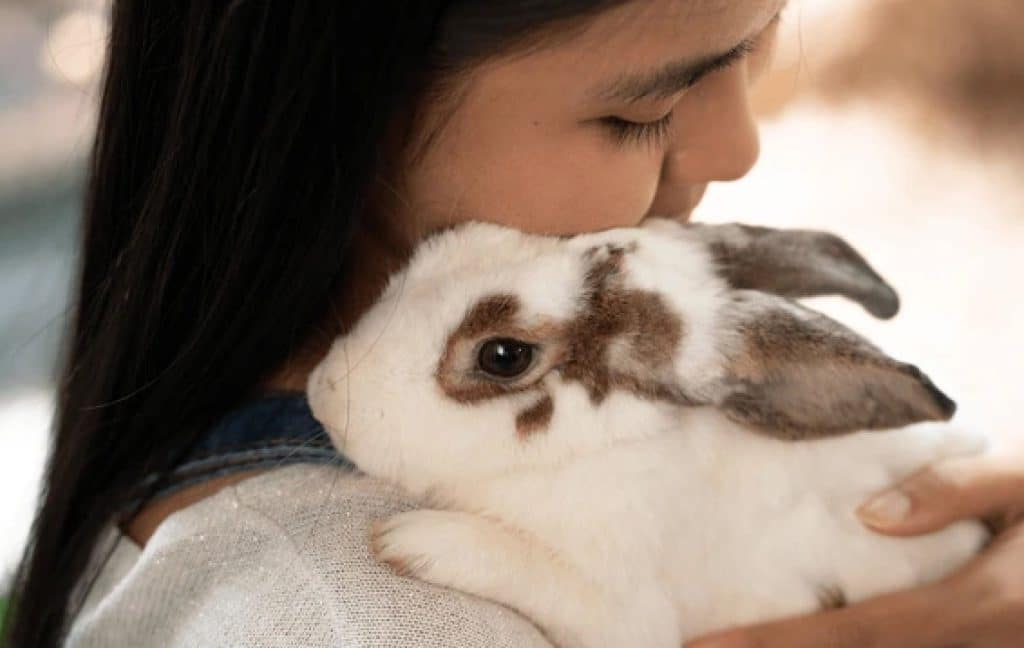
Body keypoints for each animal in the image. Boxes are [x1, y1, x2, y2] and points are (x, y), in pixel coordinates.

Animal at [307, 218, 988, 648]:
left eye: (504, 355)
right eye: (439, 241)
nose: (325, 392)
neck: (594, 449)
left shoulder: (626, 615)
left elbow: (528, 569)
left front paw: (415, 542)